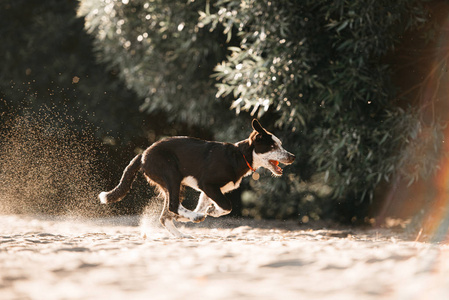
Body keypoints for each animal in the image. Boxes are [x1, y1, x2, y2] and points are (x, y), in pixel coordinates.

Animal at [99, 118, 294, 238]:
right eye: (272, 146)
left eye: (281, 145)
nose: (292, 157)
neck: (240, 155)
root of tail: (143, 155)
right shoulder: (207, 185)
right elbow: (226, 206)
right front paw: (210, 212)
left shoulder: (208, 191)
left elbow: (205, 205)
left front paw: (198, 214)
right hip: (172, 176)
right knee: (172, 205)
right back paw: (193, 218)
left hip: (172, 184)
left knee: (165, 215)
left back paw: (182, 232)